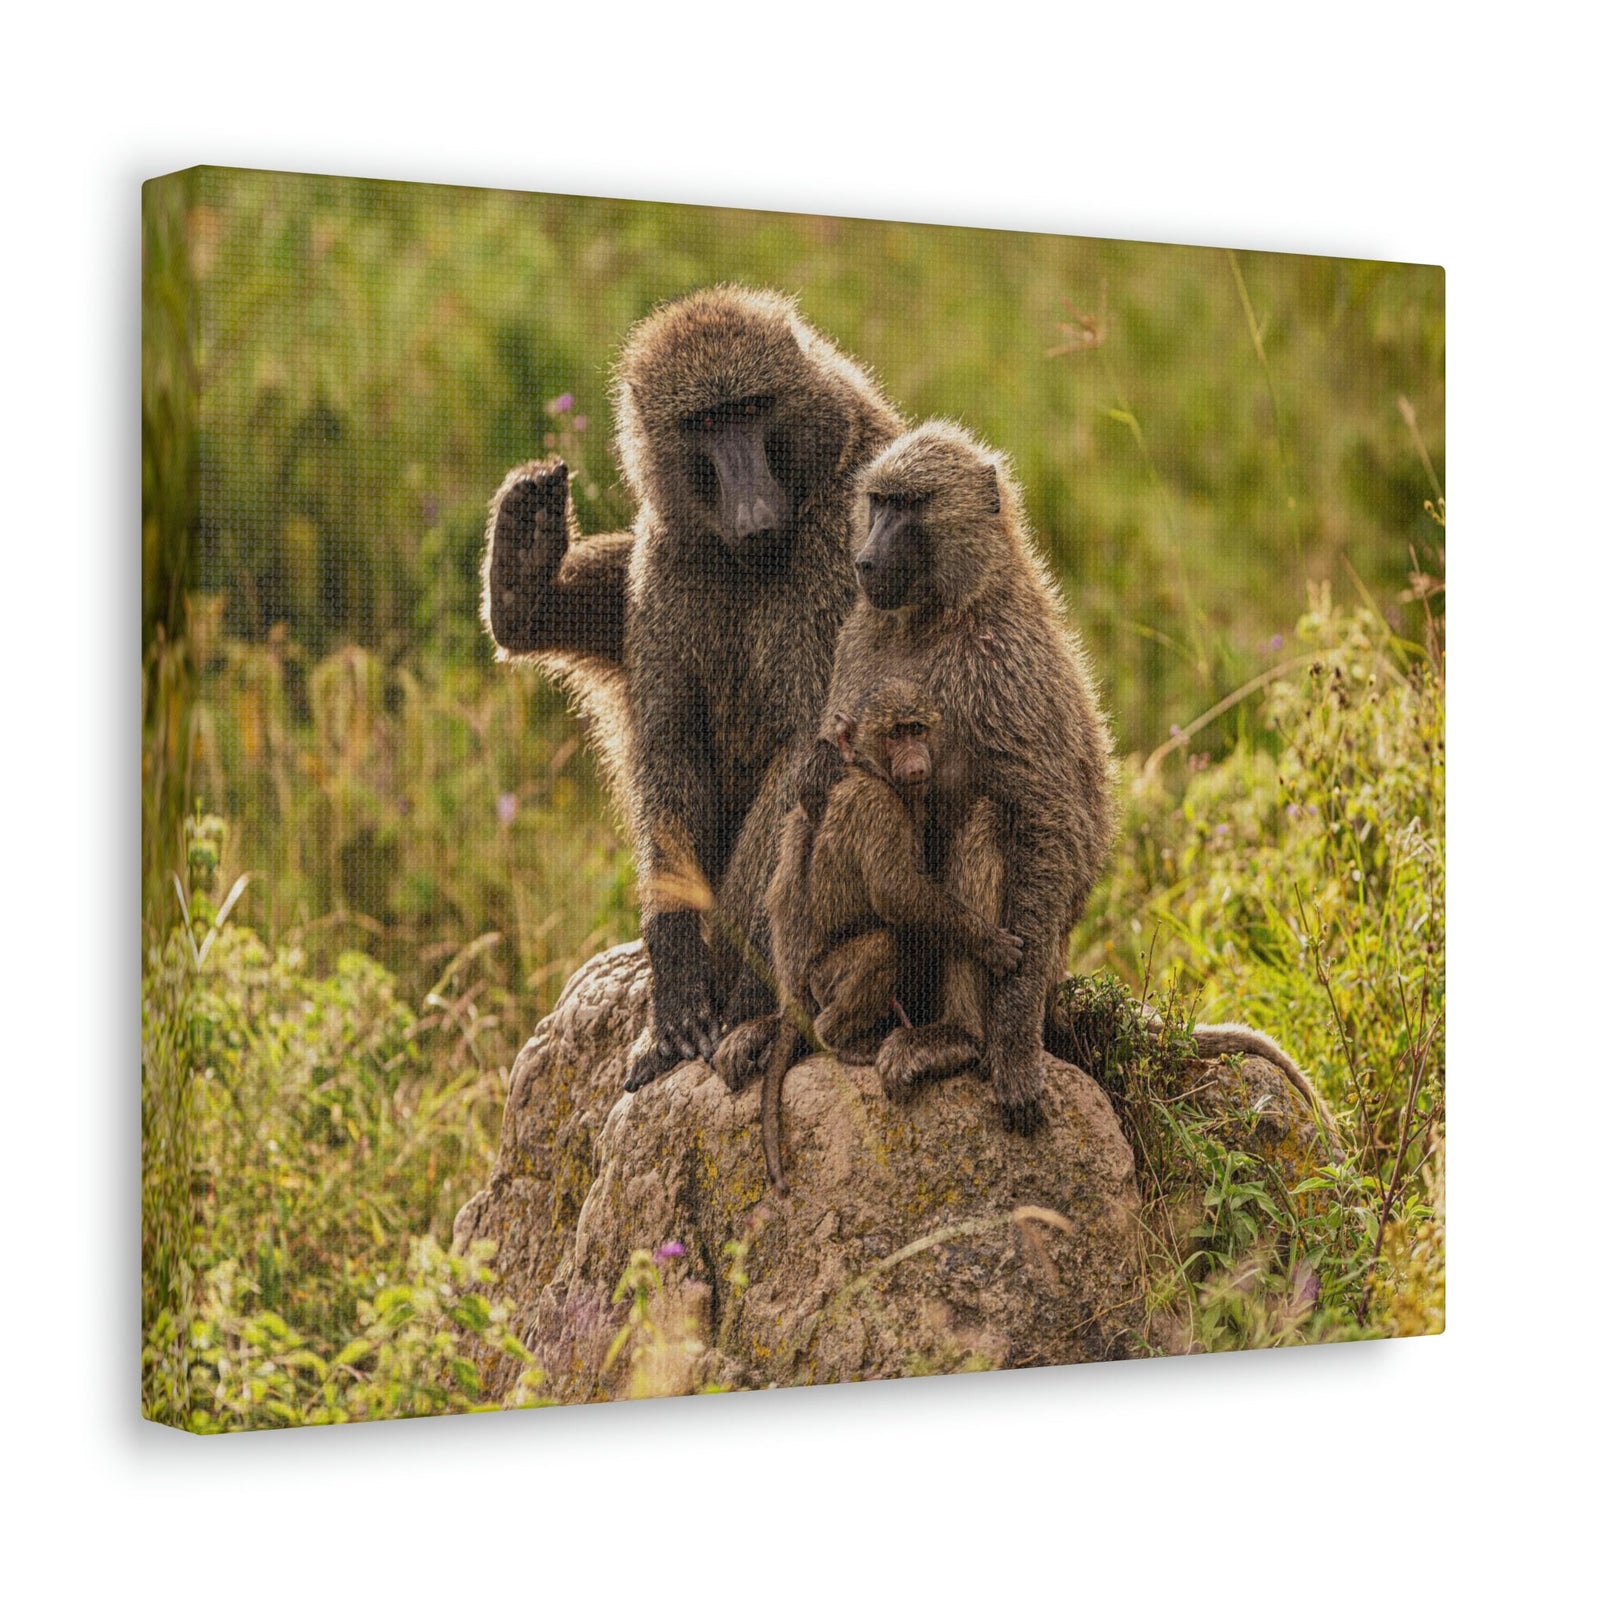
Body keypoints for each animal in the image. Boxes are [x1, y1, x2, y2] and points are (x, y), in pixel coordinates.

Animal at [481, 288, 902, 1090]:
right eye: (706, 423)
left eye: (753, 408)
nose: (754, 510)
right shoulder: (673, 557)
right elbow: (670, 741)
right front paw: (677, 985)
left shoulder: (847, 550)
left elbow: (811, 756)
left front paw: (738, 1002)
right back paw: (521, 587)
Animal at [731, 679, 1025, 1192]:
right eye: (895, 734)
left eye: (917, 729)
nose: (916, 759)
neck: (871, 772)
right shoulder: (877, 806)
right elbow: (897, 893)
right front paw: (988, 941)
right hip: (825, 978)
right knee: (882, 946)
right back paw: (842, 1040)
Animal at [806, 419, 1116, 1135]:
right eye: (879, 502)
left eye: (912, 505)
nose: (866, 562)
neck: (937, 616)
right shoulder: (858, 640)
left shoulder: (1005, 661)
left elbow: (1048, 817)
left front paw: (1013, 1051)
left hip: (1044, 957)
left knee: (991, 817)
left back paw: (959, 1039)